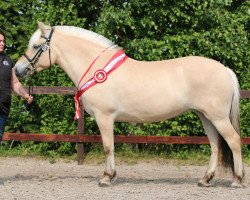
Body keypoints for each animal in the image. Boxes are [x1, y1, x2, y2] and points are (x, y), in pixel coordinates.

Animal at [14, 21, 244, 188]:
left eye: (36, 46)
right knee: (215, 145)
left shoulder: (104, 117)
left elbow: (108, 146)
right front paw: (110, 175)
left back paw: (237, 180)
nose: (18, 70)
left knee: (233, 141)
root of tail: (225, 69)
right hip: (205, 116)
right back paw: (205, 180)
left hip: (217, 117)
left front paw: (106, 177)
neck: (97, 68)